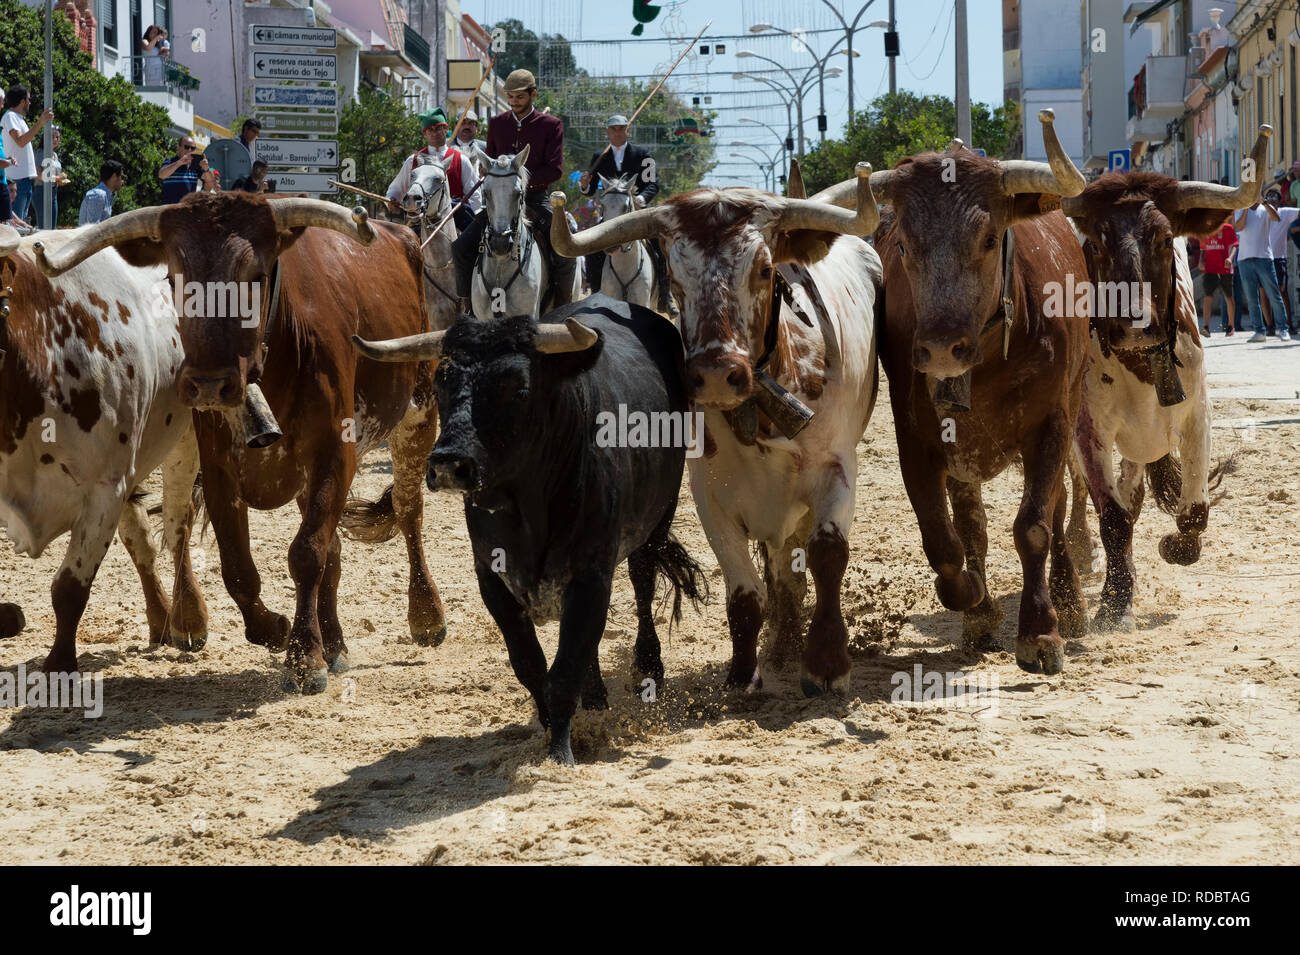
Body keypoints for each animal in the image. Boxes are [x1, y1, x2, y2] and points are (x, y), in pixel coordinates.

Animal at [0, 223, 205, 670]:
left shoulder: (104, 488)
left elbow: (69, 590)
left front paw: (59, 666)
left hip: (186, 436)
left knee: (179, 522)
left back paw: (189, 617)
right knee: (141, 536)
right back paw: (160, 618)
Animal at [353, 294, 702, 764]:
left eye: (517, 387)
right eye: (442, 383)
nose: (447, 464)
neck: (528, 505)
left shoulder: (591, 573)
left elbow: (566, 667)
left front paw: (560, 754)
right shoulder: (492, 578)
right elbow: (534, 666)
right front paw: (554, 730)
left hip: (657, 523)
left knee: (643, 583)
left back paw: (648, 667)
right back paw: (596, 699)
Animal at [1055, 128, 1268, 634]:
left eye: (1166, 238)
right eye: (1096, 244)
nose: (1135, 321)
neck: (1140, 366)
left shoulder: (1197, 416)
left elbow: (1192, 509)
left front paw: (1176, 547)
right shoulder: (1089, 428)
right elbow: (1112, 518)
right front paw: (1115, 604)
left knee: (1133, 489)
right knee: (1078, 492)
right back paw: (1081, 549)